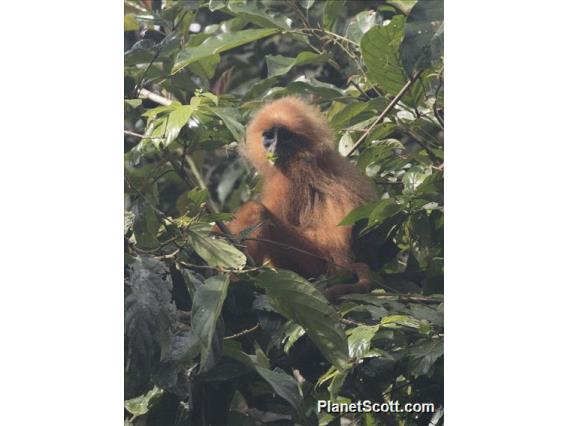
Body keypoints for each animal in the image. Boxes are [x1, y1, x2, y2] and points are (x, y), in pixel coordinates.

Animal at [215, 95, 380, 300]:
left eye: (285, 136)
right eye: (269, 135)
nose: (274, 146)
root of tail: (343, 267)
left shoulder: (288, 177)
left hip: (312, 262)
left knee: (256, 210)